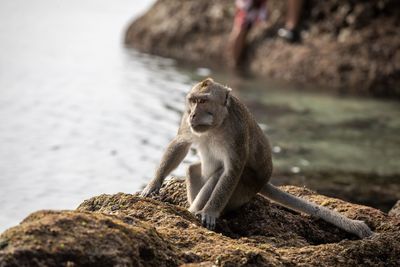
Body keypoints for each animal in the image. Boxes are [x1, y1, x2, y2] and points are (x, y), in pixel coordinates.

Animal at [140, 78, 372, 240]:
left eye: (203, 101)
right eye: (193, 101)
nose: (193, 115)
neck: (217, 124)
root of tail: (264, 181)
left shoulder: (237, 130)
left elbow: (233, 169)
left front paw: (211, 212)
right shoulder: (187, 124)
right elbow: (180, 143)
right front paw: (154, 184)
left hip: (245, 189)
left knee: (220, 176)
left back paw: (197, 211)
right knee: (193, 169)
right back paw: (190, 209)